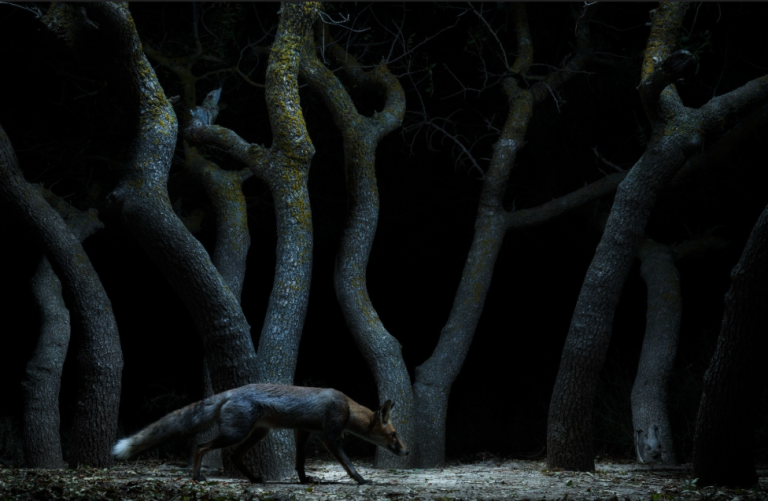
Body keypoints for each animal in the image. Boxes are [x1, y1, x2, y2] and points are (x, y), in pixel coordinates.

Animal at [112, 383, 408, 484]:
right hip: (236, 434)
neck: (346, 406)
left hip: (256, 434)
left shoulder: (303, 432)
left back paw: (254, 479)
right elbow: (348, 464)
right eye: (394, 435)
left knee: (234, 457)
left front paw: (304, 480)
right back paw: (196, 477)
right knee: (200, 446)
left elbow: (300, 463)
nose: (406, 451)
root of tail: (232, 391)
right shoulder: (329, 436)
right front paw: (361, 480)